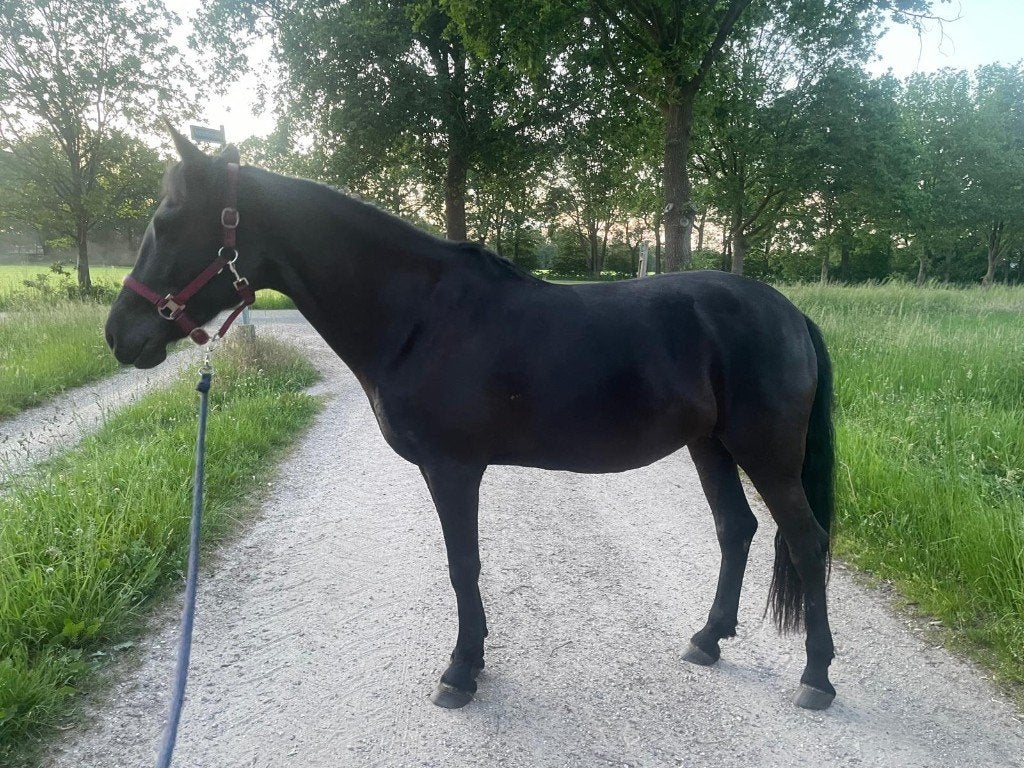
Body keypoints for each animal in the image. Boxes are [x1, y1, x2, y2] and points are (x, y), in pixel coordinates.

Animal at [105, 131, 838, 711]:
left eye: (169, 220)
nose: (119, 335)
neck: (419, 317)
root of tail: (791, 312)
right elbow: (465, 565)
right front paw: (473, 659)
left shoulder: (452, 468)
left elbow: (463, 564)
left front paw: (460, 672)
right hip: (709, 445)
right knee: (736, 529)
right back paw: (707, 640)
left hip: (765, 453)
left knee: (807, 540)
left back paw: (817, 677)